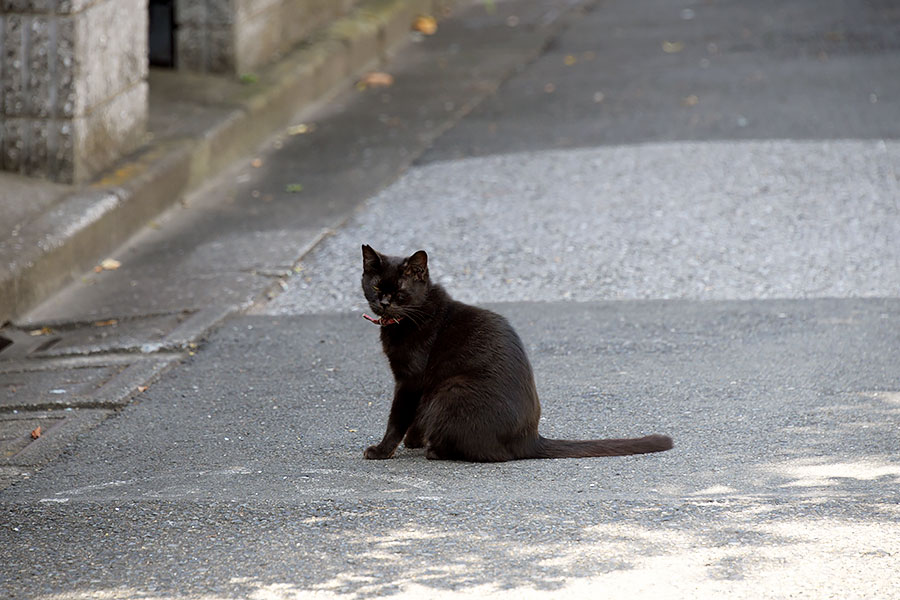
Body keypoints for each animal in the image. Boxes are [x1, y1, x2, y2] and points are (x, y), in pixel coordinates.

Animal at [362, 246, 672, 462]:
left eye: (400, 291)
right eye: (376, 286)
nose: (384, 303)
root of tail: (530, 438)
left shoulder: (410, 381)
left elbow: (397, 418)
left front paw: (382, 450)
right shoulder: (415, 385)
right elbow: (413, 415)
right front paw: (413, 440)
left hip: (450, 391)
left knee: (489, 454)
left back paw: (436, 450)